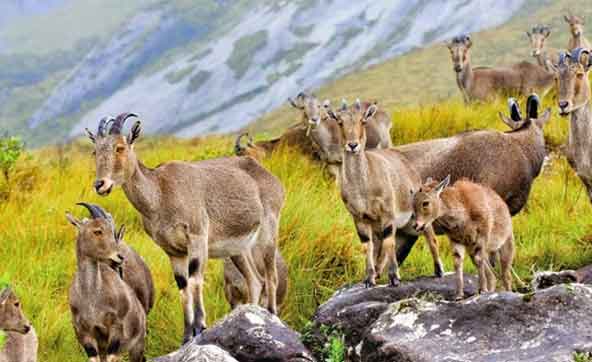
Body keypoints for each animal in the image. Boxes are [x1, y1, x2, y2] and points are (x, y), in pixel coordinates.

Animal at [66, 204, 153, 362]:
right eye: (97, 231)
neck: (91, 299)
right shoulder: (85, 333)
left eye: (112, 232)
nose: (119, 256)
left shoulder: (116, 327)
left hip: (137, 343)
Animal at [328, 100, 444, 288]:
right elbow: (368, 245)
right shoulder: (359, 217)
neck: (363, 188)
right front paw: (369, 279)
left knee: (430, 239)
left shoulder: (387, 213)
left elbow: (389, 242)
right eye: (339, 121)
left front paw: (394, 277)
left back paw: (439, 270)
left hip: (418, 218)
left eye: (363, 120)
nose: (352, 145)